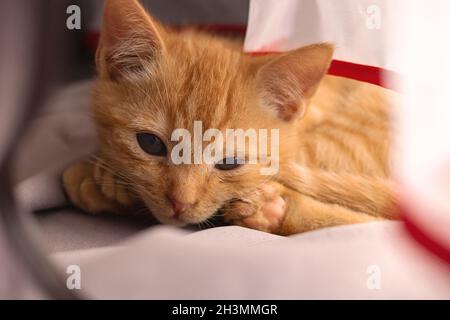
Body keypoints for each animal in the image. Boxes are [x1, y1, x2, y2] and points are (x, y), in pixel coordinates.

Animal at [62, 0, 398, 235]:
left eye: (230, 162)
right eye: (150, 144)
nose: (180, 203)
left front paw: (98, 176)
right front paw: (107, 178)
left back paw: (273, 210)